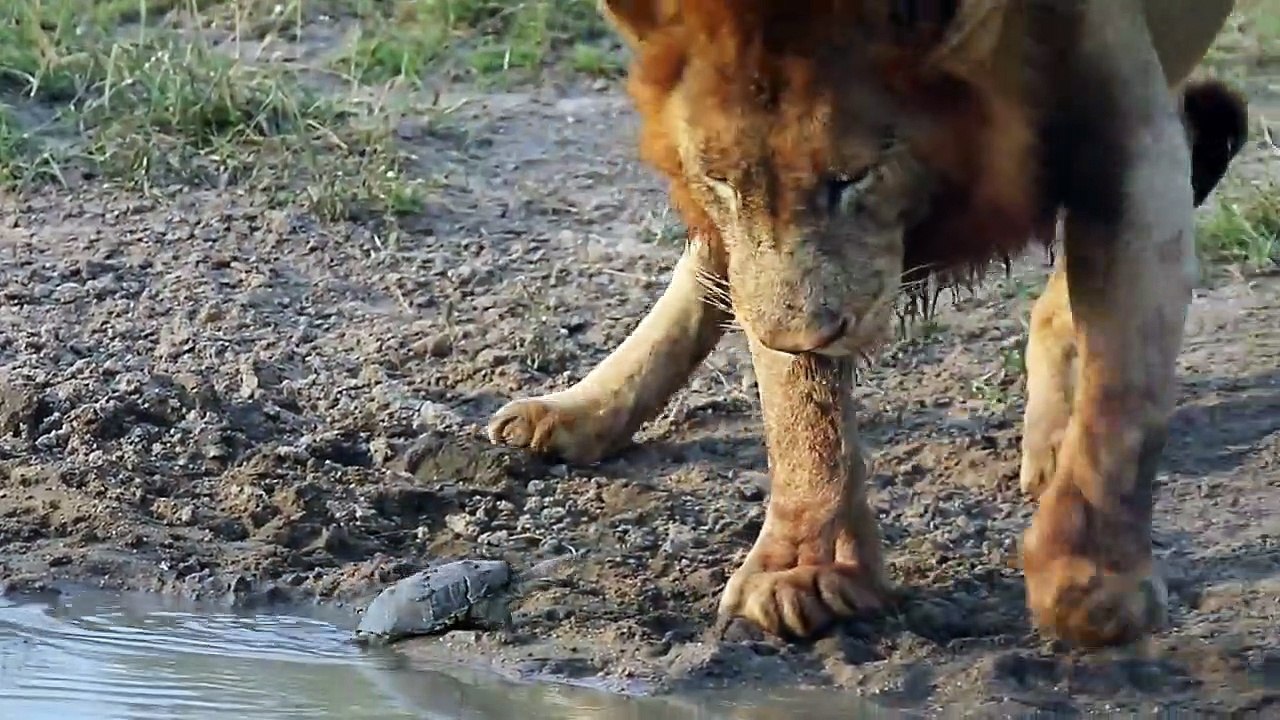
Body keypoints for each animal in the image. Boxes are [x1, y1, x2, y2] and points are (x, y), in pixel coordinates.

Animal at [486, 0, 1250, 648]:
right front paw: (802, 572)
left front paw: (1093, 580)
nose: (800, 333)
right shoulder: (772, 267)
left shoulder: (1123, 134)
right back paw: (582, 411)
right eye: (724, 180)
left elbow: (1122, 392)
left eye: (852, 177)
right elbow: (799, 401)